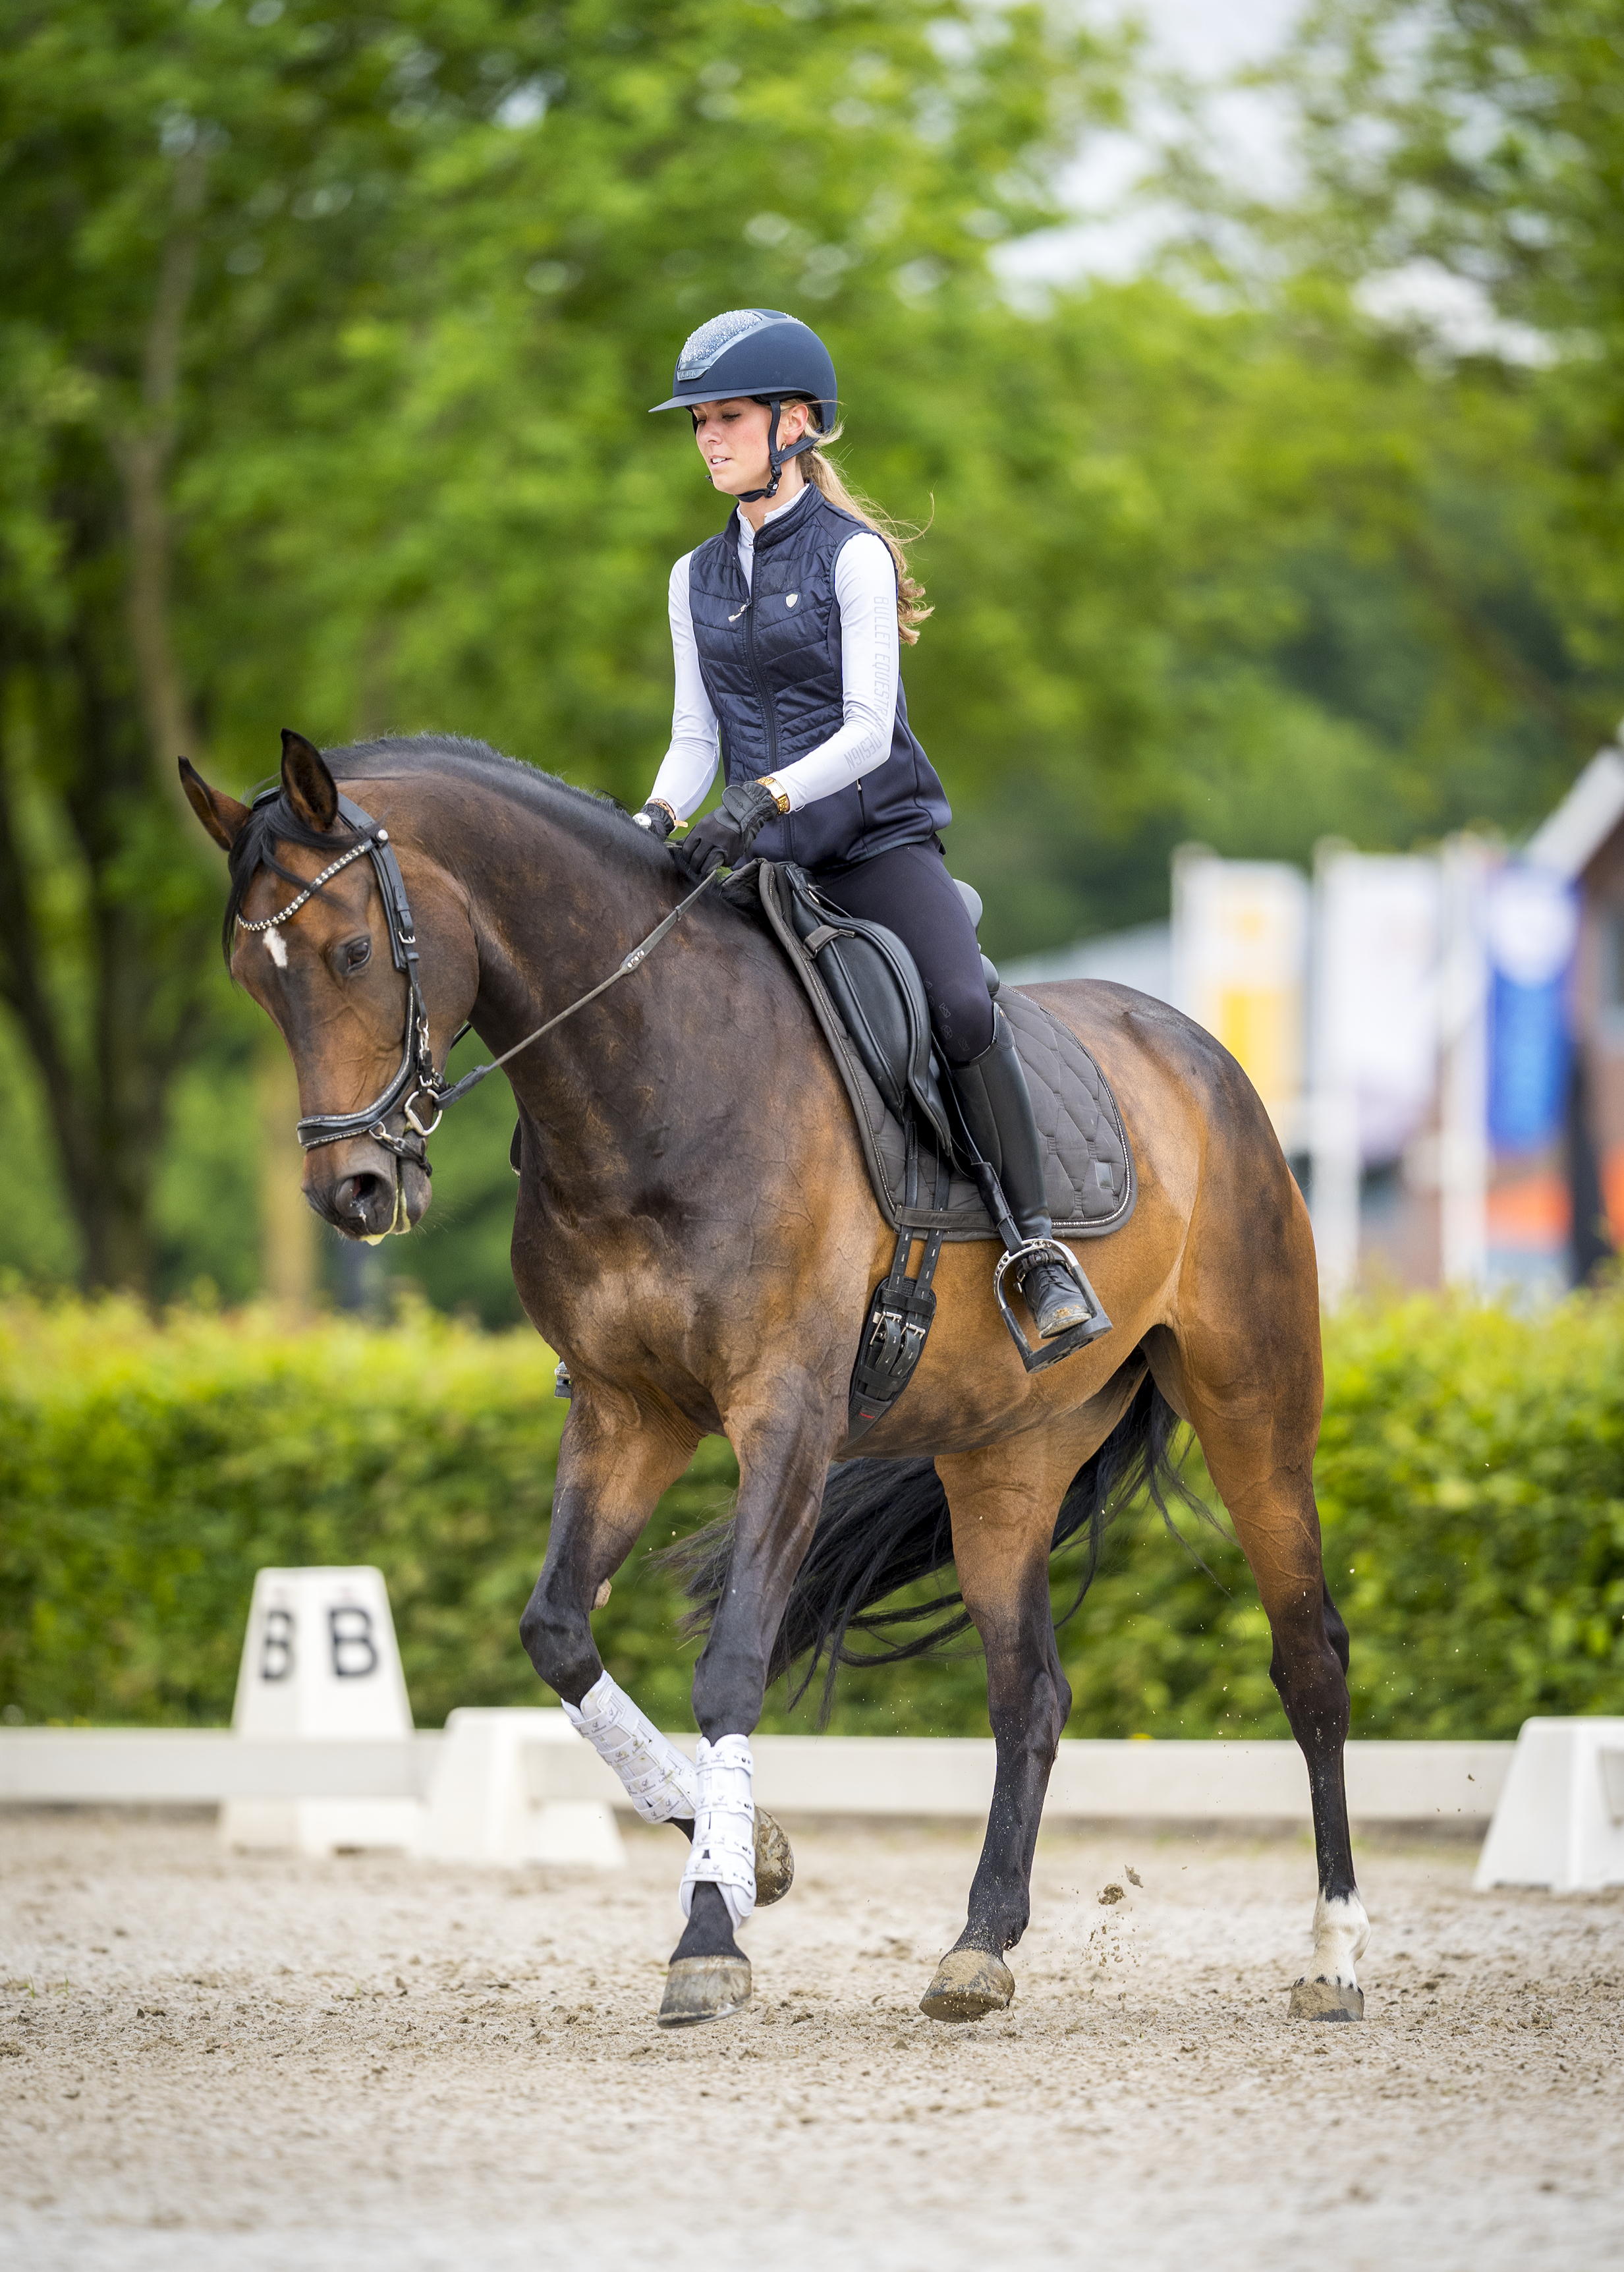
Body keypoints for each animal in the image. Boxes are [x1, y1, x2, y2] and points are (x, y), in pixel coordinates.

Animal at [181, 727, 1369, 2029]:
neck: (652, 1077)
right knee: (1030, 1693)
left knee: (1309, 1659)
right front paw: (752, 1851)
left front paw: (710, 1931)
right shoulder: (628, 1415)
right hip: (1006, 1452)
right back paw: (979, 1947)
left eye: (351, 950)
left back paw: (1334, 1955)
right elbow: (558, 1634)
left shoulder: (786, 1417)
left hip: (1254, 1408)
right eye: (250, 980)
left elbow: (734, 1659)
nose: (352, 1192)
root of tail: (1199, 1051)